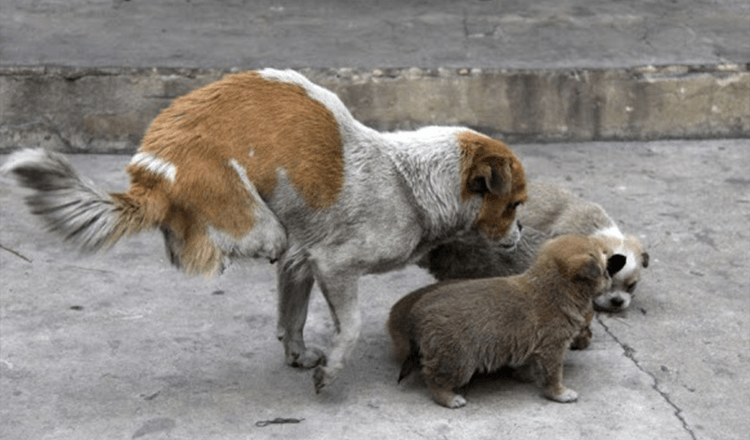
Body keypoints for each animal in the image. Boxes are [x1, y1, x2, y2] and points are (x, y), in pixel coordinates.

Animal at [1, 68, 528, 392]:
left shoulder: (303, 262)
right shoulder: (334, 264)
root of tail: (153, 174)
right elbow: (352, 325)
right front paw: (332, 369)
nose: (522, 232)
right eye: (515, 205)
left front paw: (298, 356)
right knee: (240, 241)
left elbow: (292, 317)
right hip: (252, 220)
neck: (407, 182)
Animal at [388, 235, 628, 408]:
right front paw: (559, 393)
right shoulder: (553, 348)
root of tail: (417, 312)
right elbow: (554, 375)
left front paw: (525, 376)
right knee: (433, 377)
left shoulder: (533, 345)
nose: (616, 266)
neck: (554, 287)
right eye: (606, 269)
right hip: (458, 360)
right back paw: (449, 398)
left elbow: (529, 363)